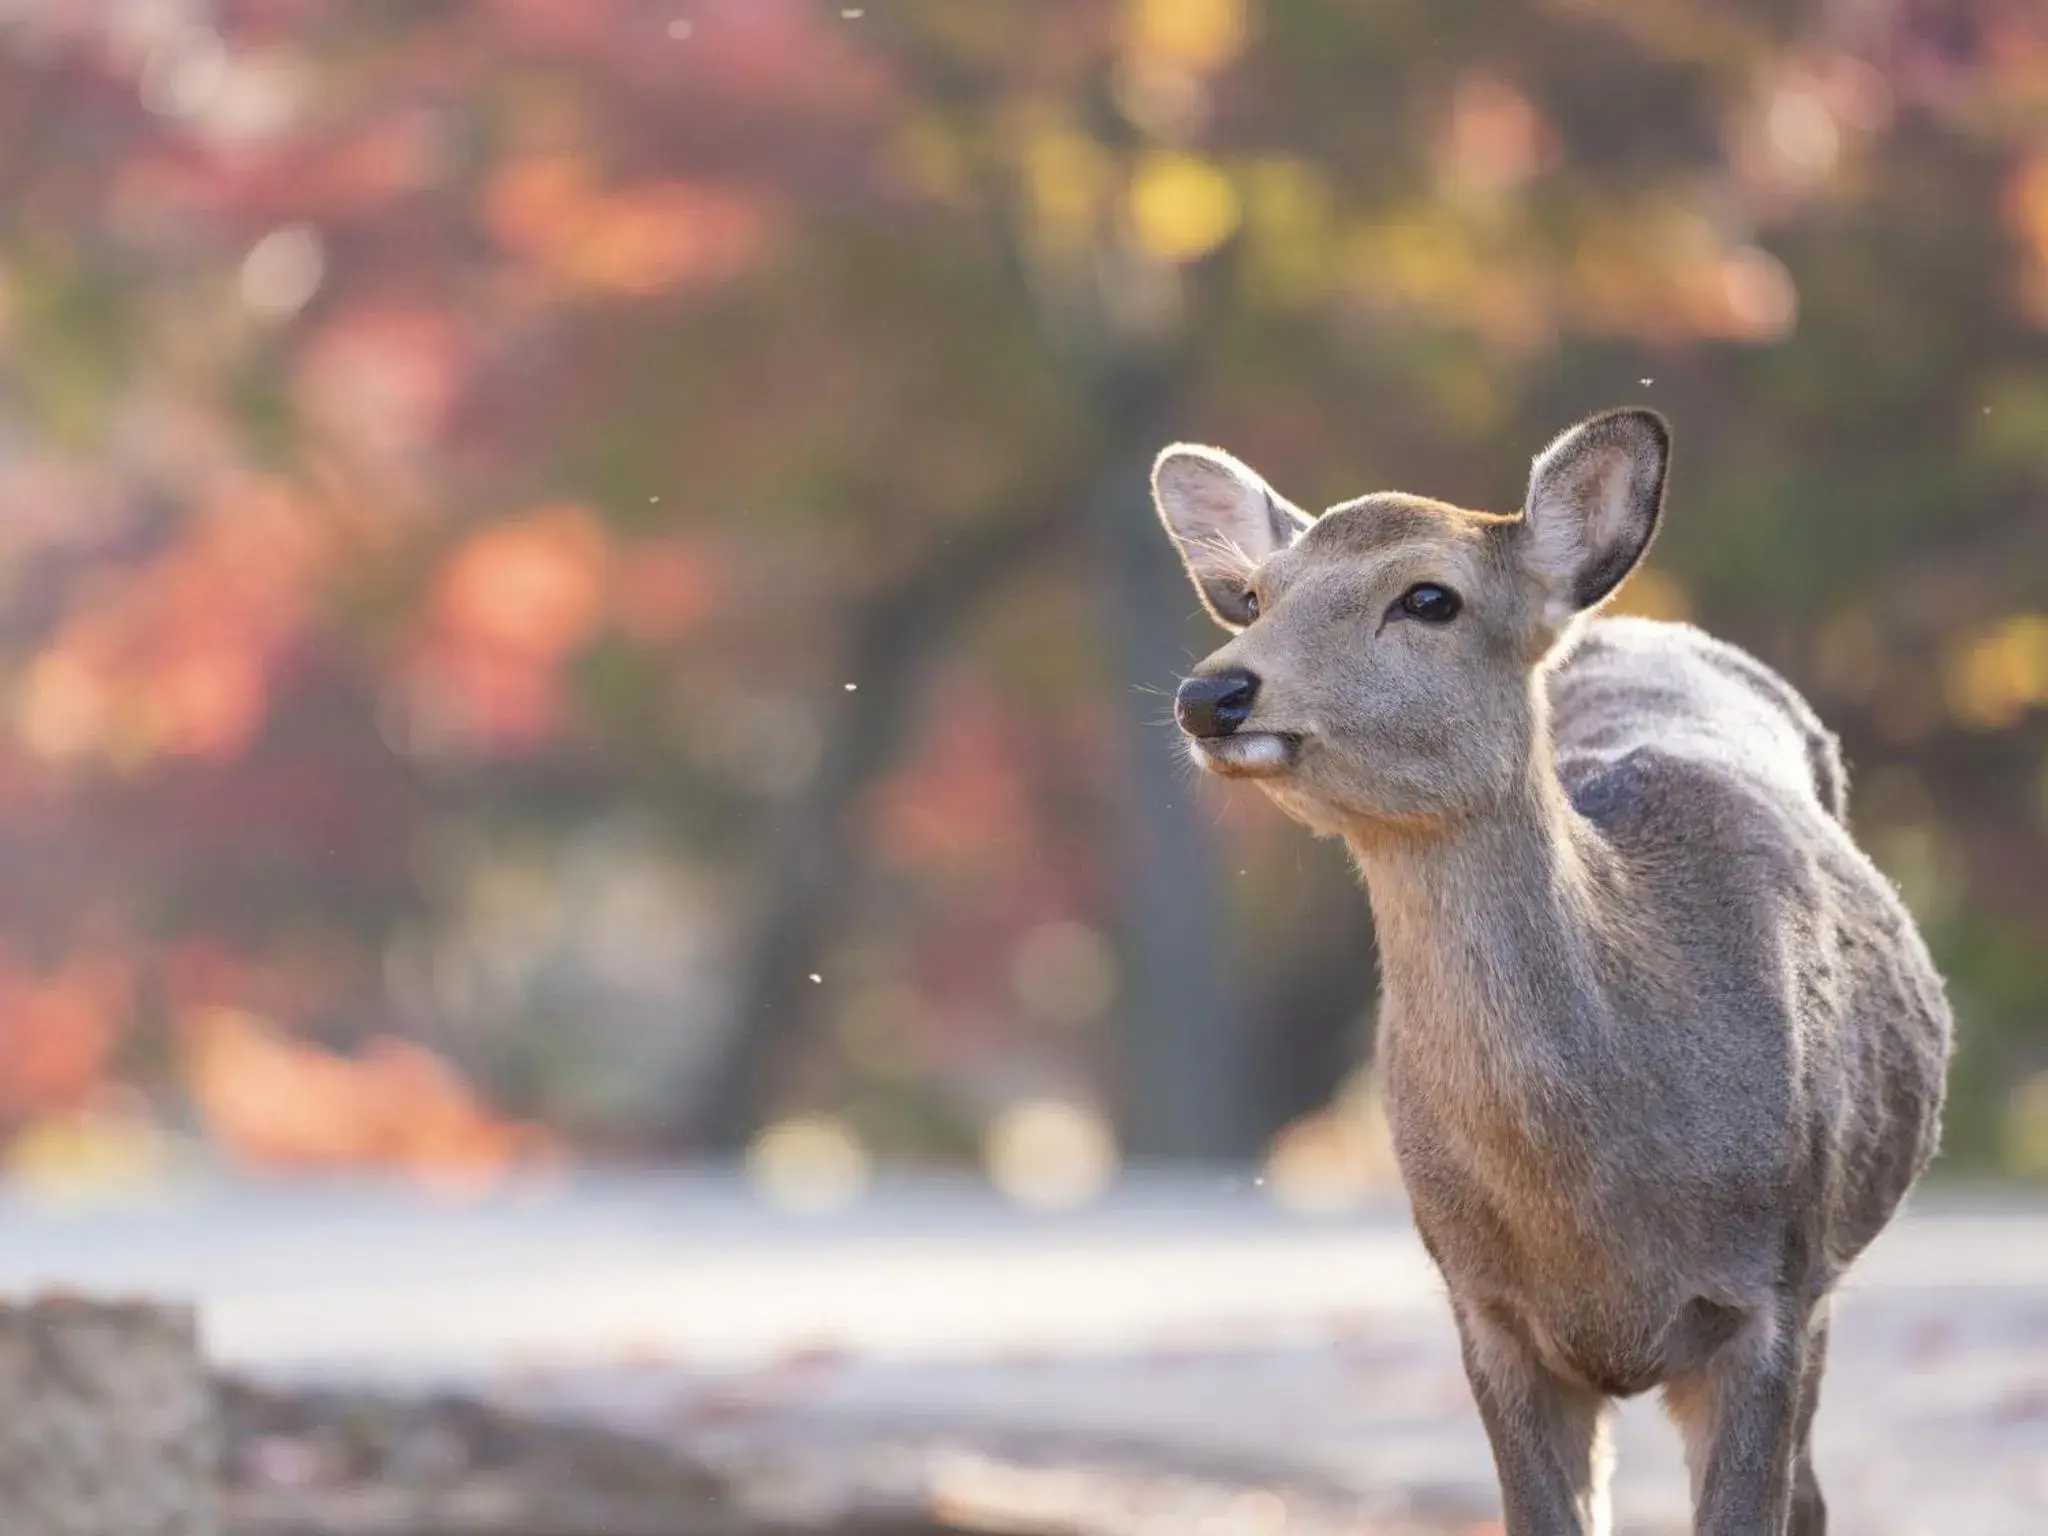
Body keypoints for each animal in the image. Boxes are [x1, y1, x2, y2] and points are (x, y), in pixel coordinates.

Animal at [1155, 411, 1949, 1536]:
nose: (1212, 692)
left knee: (1810, 1496)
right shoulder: (1482, 1306)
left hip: (1828, 1268)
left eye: (1428, 597)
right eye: (1259, 594)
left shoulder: (1771, 1287)